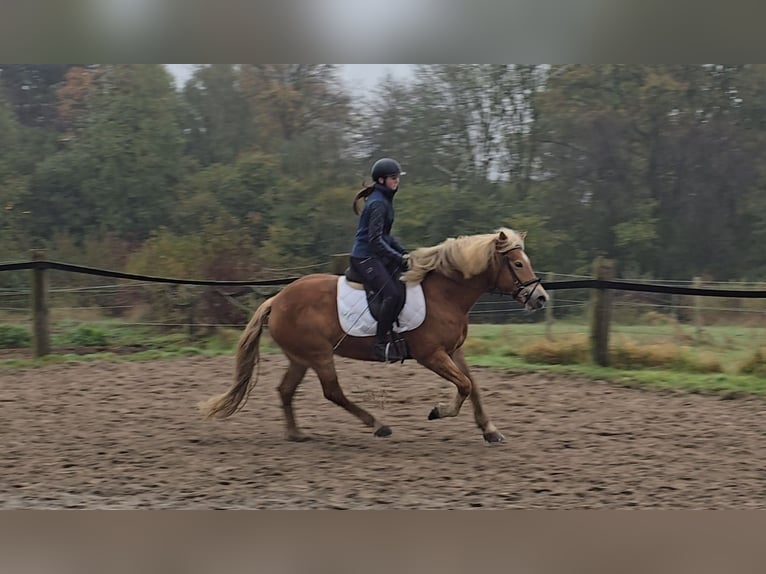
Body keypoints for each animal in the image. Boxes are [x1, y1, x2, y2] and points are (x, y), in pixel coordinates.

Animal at [198, 230, 544, 446]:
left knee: (285, 390)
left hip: (301, 358)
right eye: (517, 263)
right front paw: (438, 412)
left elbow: (473, 386)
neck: (445, 294)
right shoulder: (431, 355)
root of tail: (277, 299)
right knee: (333, 392)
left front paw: (491, 431)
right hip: (319, 355)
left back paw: (296, 434)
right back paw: (378, 425)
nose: (540, 298)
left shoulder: (453, 351)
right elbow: (464, 385)